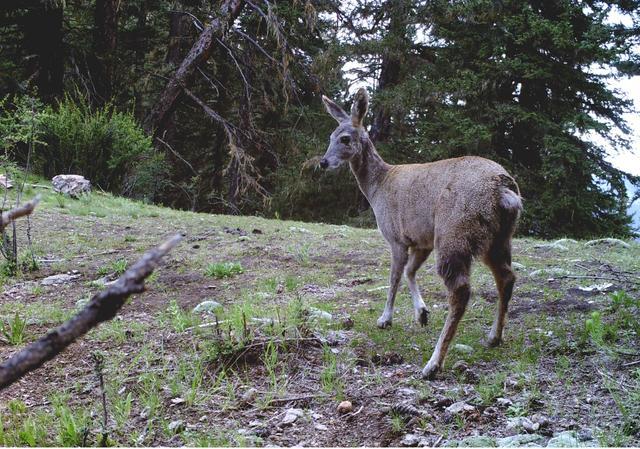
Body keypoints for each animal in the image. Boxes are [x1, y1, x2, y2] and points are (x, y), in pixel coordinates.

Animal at [318, 88, 524, 378]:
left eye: (345, 138)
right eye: (330, 136)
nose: (323, 162)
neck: (377, 187)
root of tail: (504, 191)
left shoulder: (395, 236)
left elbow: (394, 276)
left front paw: (385, 319)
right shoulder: (421, 240)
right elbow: (410, 272)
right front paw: (422, 313)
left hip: (454, 232)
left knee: (461, 290)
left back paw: (433, 363)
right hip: (498, 238)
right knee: (506, 277)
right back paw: (494, 337)